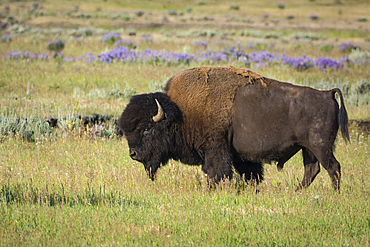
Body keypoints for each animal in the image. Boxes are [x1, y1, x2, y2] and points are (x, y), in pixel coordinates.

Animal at [119, 66, 350, 191]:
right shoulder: (242, 157)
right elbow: (251, 175)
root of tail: (326, 94)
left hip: (320, 146)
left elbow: (216, 172)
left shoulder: (216, 150)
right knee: (312, 170)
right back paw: (296, 192)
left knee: (333, 167)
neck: (180, 112)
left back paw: (335, 195)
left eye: (147, 129)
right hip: (307, 149)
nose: (133, 154)